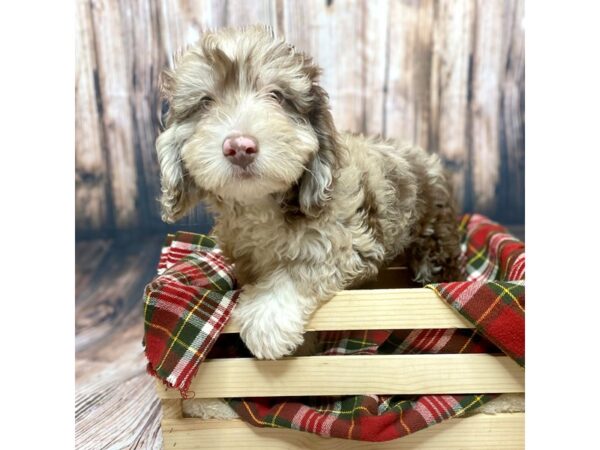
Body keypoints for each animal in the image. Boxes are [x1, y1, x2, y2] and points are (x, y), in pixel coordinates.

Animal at [155, 25, 460, 362]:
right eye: (206, 103)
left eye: (276, 96)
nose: (239, 147)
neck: (263, 204)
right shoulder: (248, 261)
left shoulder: (348, 242)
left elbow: (301, 268)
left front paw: (267, 319)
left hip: (433, 239)